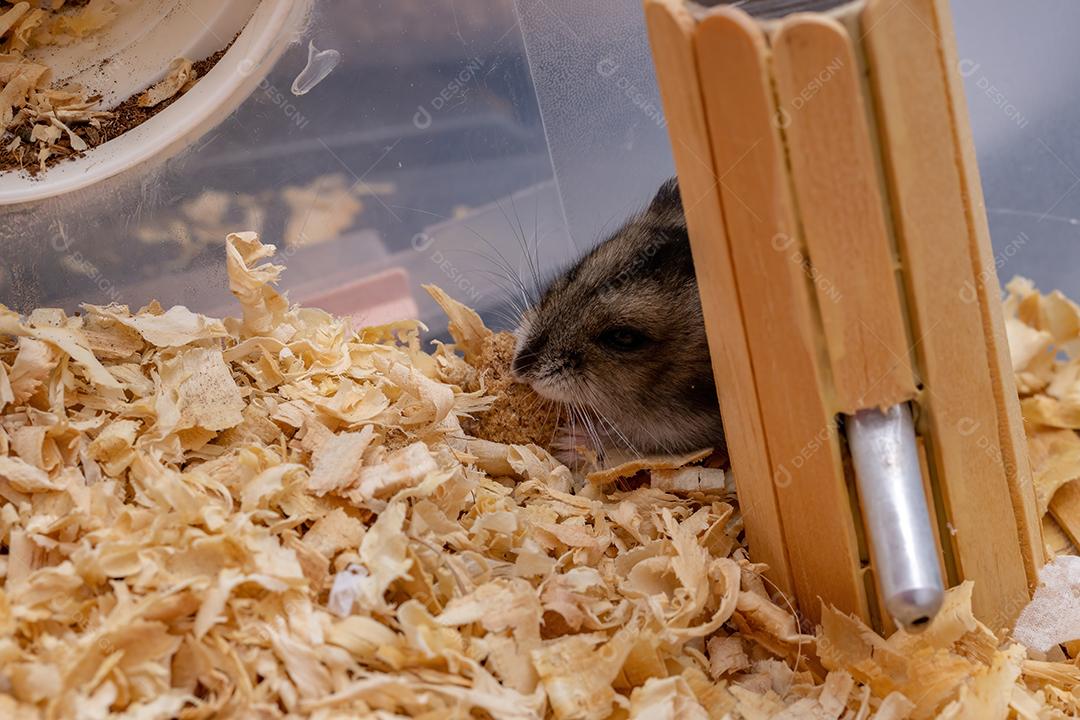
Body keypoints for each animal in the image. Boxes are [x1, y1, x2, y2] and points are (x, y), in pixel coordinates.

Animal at [511, 178, 724, 457]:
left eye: (623, 337)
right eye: (574, 272)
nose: (517, 369)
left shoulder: (678, 431)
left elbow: (626, 438)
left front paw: (568, 440)